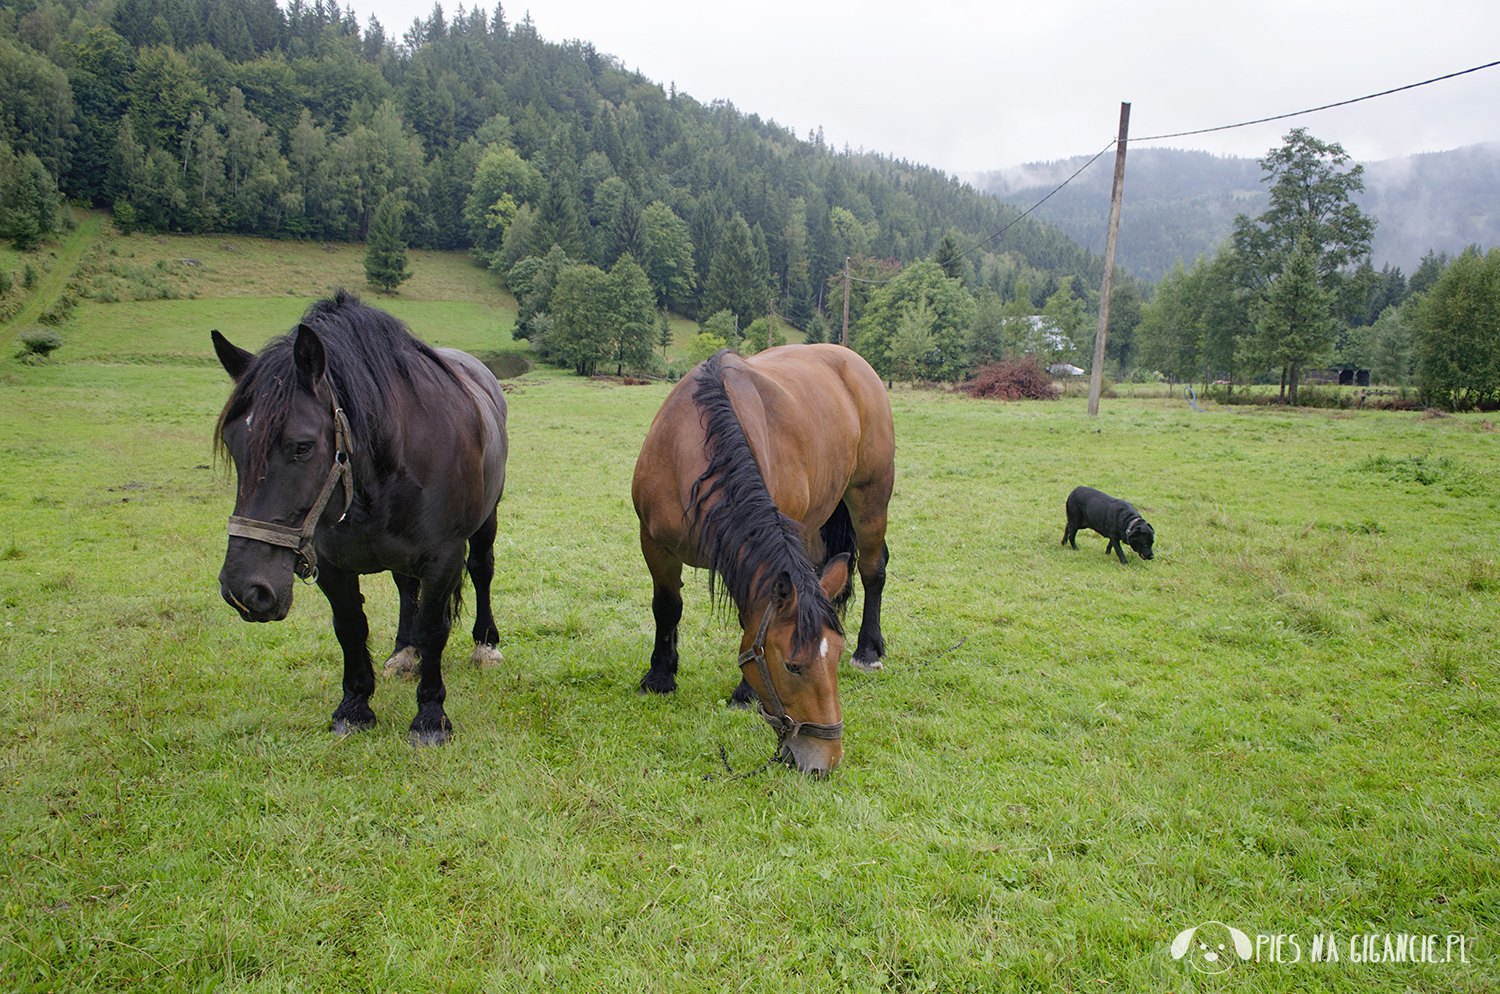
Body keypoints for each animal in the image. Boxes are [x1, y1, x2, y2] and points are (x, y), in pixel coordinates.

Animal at [210, 292, 510, 743]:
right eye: (233, 443)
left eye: (302, 446)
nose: (245, 589)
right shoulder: (332, 564)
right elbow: (351, 627)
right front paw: (354, 707)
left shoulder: (443, 556)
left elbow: (434, 629)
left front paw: (430, 716)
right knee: (406, 588)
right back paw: (404, 652)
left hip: (485, 520)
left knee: (481, 569)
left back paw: (485, 644)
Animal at [630, 346, 894, 773]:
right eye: (792, 665)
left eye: (834, 656)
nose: (828, 758)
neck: (690, 452)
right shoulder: (654, 545)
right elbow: (667, 608)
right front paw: (659, 677)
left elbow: (747, 620)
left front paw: (743, 693)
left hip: (870, 495)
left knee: (874, 570)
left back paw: (869, 650)